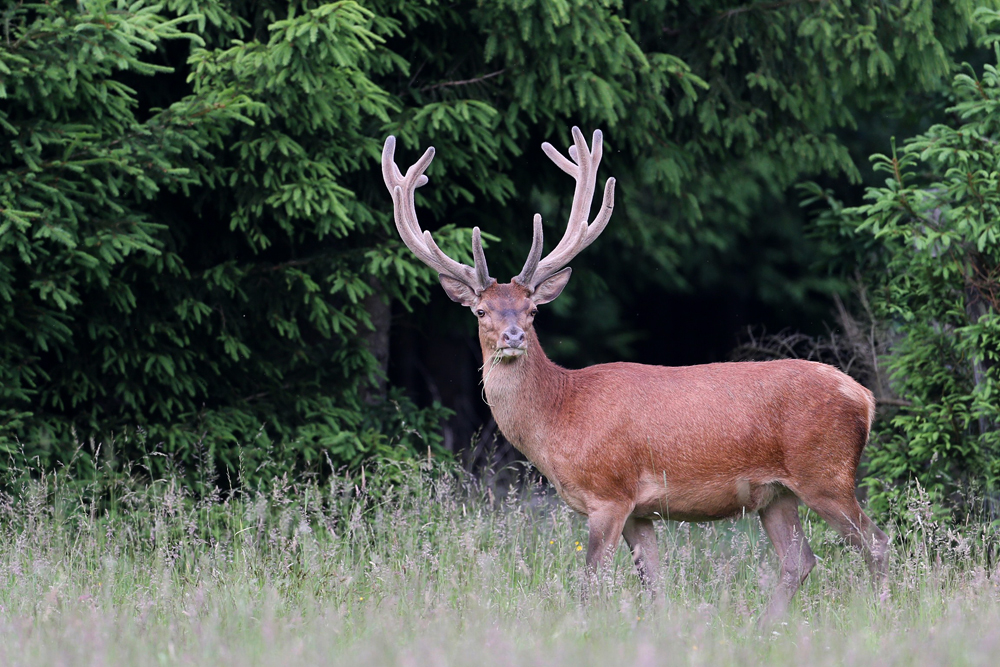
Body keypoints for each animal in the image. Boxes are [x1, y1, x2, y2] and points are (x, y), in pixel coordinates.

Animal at [380, 126, 892, 628]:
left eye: (532, 311)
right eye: (481, 310)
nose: (513, 336)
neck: (559, 415)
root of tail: (864, 398)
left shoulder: (609, 494)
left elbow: (590, 583)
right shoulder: (639, 510)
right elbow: (653, 582)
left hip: (826, 473)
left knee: (876, 543)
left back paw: (880, 614)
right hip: (776, 495)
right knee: (798, 559)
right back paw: (764, 628)